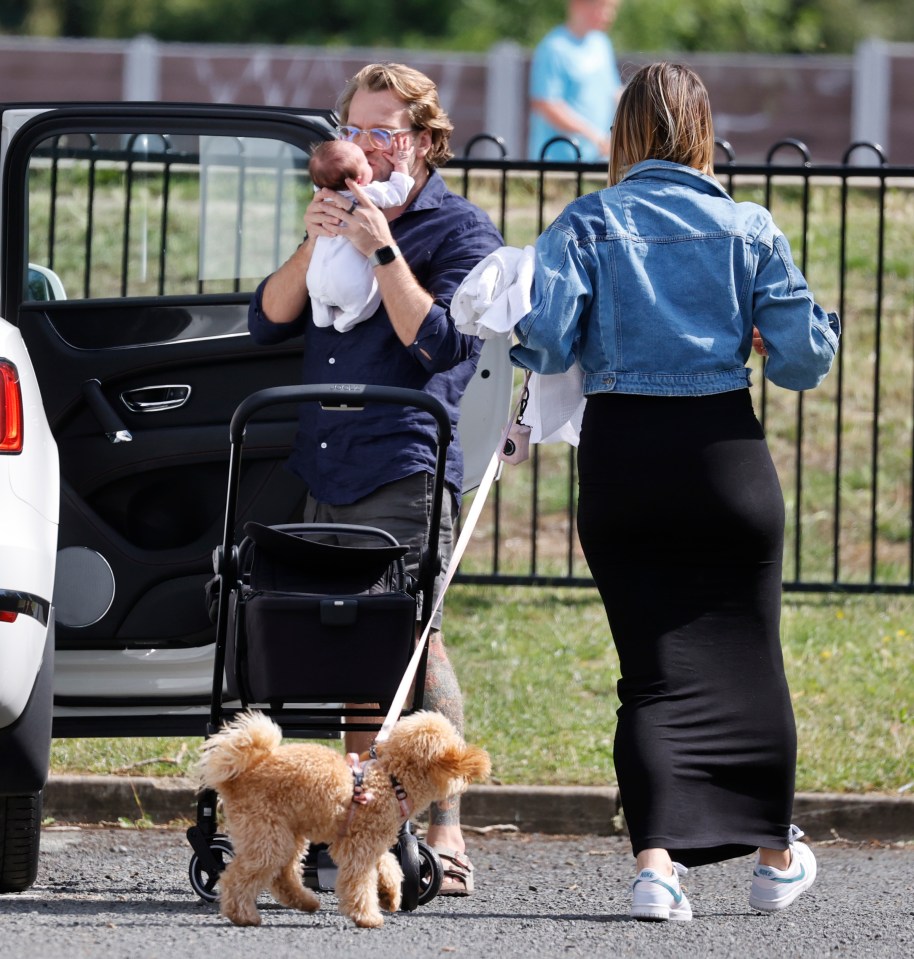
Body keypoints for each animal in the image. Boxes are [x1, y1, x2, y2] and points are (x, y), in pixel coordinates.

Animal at [195, 712, 488, 928]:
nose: (478, 764)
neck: (392, 779)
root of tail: (238, 774)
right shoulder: (359, 847)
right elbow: (360, 883)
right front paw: (367, 917)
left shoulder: (370, 840)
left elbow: (389, 864)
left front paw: (390, 895)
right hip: (267, 834)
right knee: (236, 876)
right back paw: (243, 915)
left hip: (287, 834)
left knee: (283, 875)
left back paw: (305, 902)